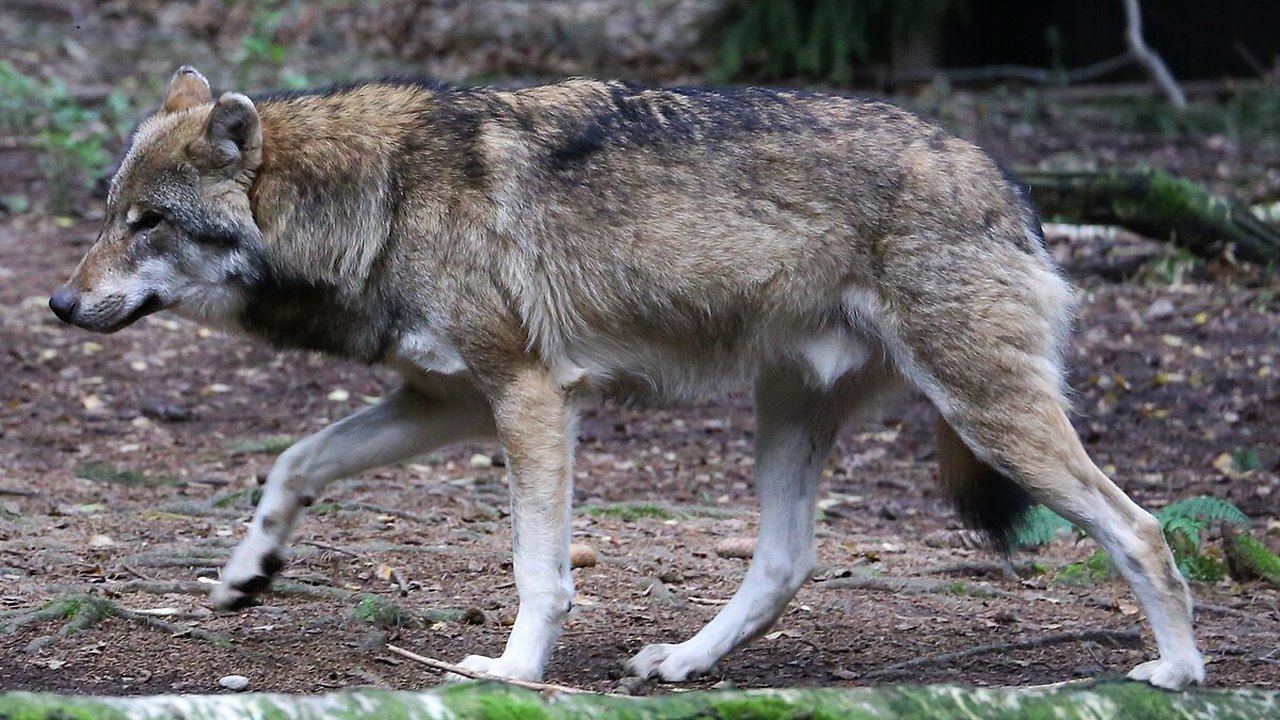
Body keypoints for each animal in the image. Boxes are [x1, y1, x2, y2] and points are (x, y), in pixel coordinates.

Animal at [50, 66, 1204, 688]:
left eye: (148, 223)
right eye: (108, 212)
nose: (59, 305)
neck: (378, 199)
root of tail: (1012, 186)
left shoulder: (527, 398)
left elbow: (539, 570)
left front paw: (514, 674)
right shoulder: (448, 400)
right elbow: (294, 462)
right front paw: (249, 572)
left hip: (985, 413)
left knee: (1142, 527)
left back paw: (1180, 673)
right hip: (788, 413)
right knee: (785, 561)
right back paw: (685, 664)